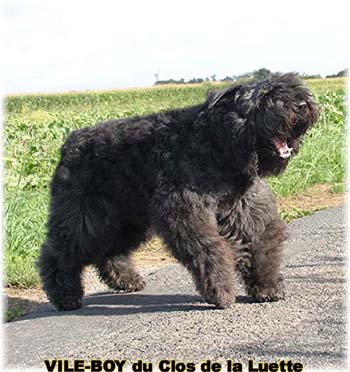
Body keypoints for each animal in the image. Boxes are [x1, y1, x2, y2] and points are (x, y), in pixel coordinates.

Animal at [39, 73, 320, 310]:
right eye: (264, 96)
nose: (302, 104)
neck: (218, 143)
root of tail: (69, 142)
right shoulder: (186, 212)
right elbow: (209, 247)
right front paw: (221, 291)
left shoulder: (246, 209)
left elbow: (262, 243)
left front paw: (267, 286)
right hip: (86, 216)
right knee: (59, 250)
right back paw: (65, 296)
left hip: (126, 219)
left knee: (110, 251)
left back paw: (126, 280)